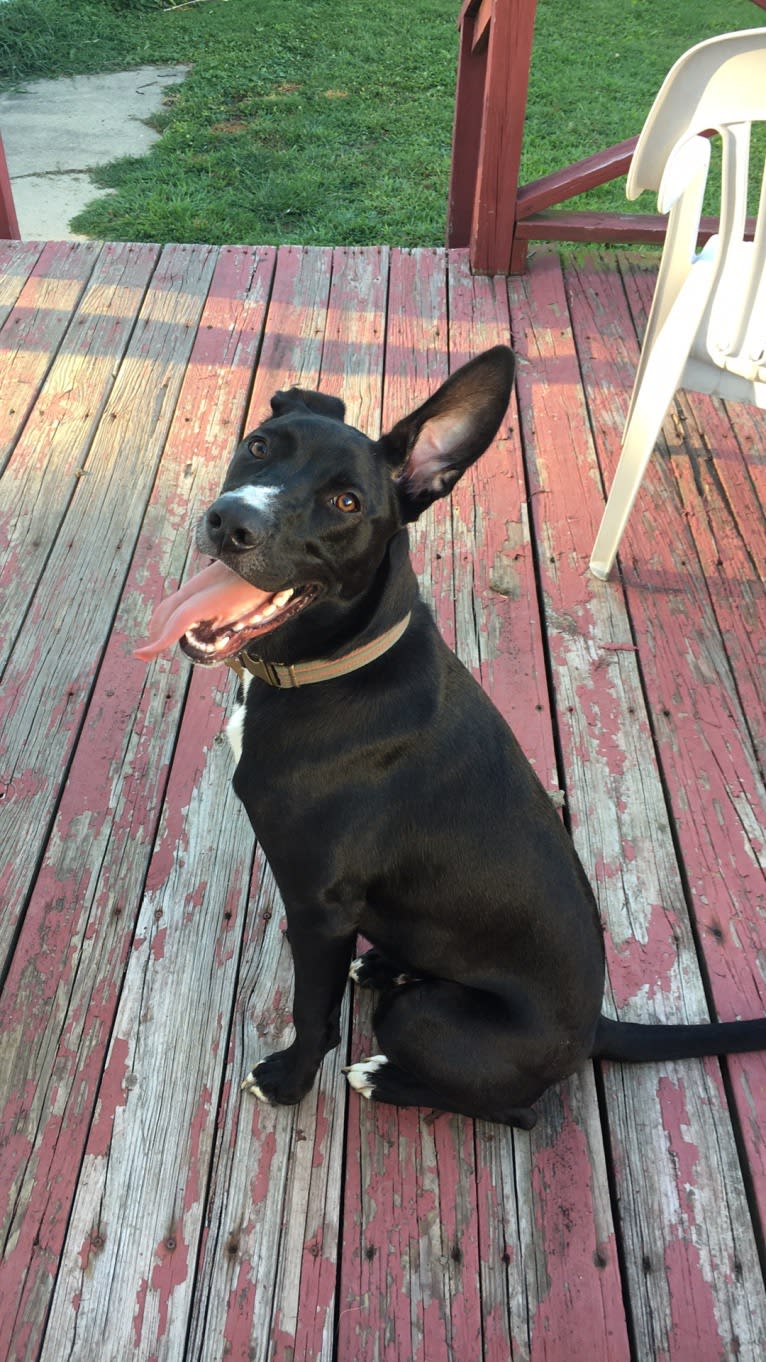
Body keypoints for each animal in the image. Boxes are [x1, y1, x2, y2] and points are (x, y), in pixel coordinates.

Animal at [135, 351, 763, 1127]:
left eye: (347, 503)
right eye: (259, 446)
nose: (231, 522)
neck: (343, 662)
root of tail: (593, 1027)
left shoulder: (318, 907)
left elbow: (313, 1014)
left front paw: (288, 1081)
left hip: (422, 1018)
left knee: (516, 1111)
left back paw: (385, 1076)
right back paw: (383, 962)